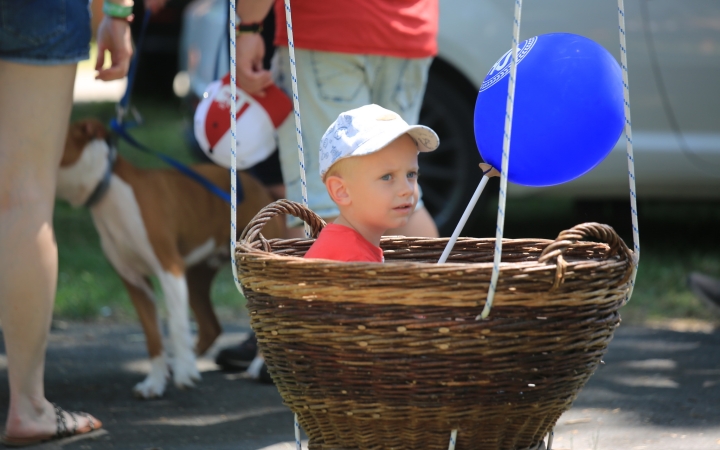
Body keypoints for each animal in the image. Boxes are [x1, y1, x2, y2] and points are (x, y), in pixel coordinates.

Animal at [57, 119, 282, 398]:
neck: (109, 191)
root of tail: (261, 188)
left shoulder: (169, 269)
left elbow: (176, 325)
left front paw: (185, 373)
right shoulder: (134, 281)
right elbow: (153, 335)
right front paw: (155, 381)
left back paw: (258, 367)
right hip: (196, 279)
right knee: (211, 326)